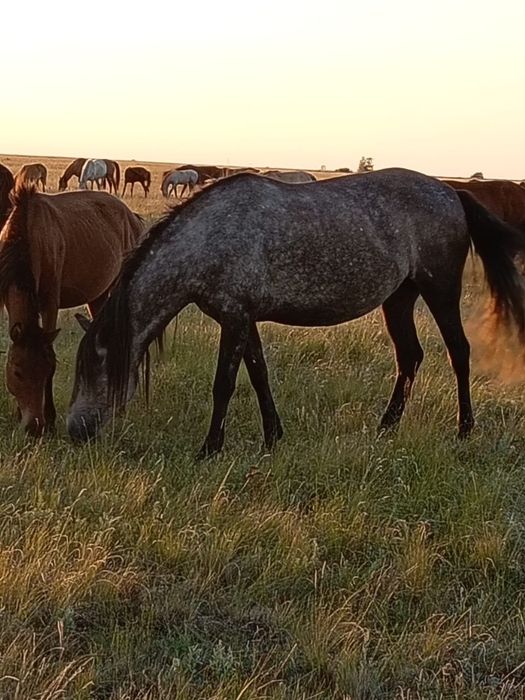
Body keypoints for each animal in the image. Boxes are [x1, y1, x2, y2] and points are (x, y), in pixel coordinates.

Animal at [0, 186, 144, 435]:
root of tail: (132, 216)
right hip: (97, 297)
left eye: (46, 371)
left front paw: (50, 420)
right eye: (17, 371)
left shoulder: (50, 302)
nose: (34, 426)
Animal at [67, 168, 525, 457]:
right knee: (410, 356)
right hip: (399, 298)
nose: (74, 432)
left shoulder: (234, 318)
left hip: (440, 289)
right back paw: (386, 427)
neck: (208, 240)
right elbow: (259, 376)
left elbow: (224, 385)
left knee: (458, 352)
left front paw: (210, 448)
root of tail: (451, 192)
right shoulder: (244, 319)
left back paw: (464, 428)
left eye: (96, 369)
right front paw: (273, 437)